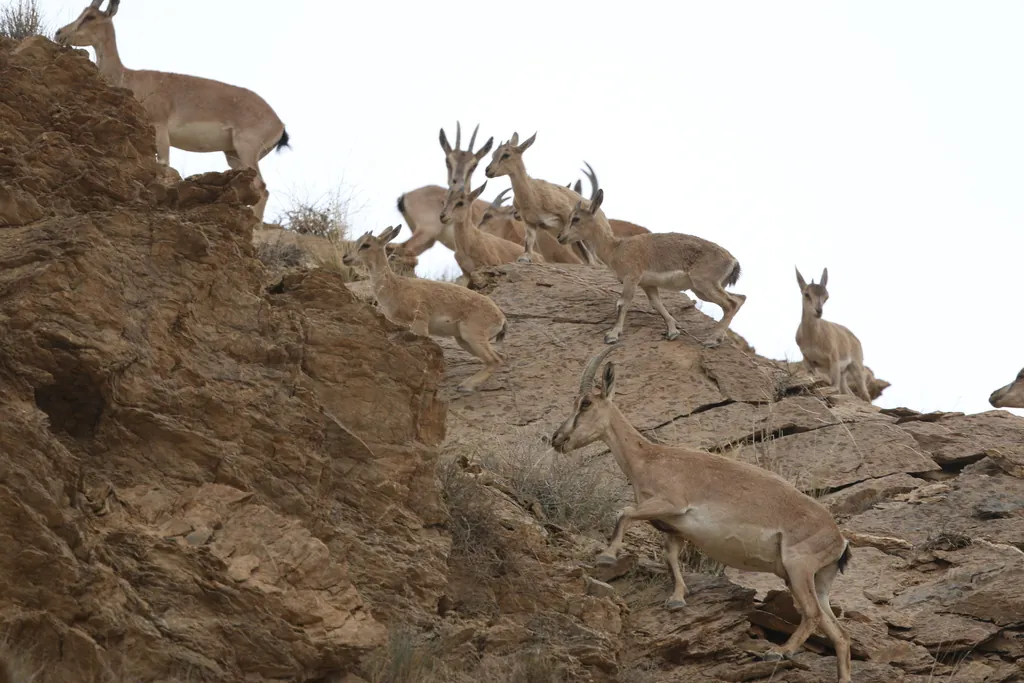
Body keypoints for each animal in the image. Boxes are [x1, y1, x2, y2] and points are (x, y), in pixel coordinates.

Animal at [54, 0, 288, 222]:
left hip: (246, 148)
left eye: (90, 16)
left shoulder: (159, 129)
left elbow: (164, 167)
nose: (59, 33)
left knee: (262, 189)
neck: (129, 77)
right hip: (233, 155)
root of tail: (279, 124)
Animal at [342, 226, 507, 393]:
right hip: (463, 340)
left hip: (473, 335)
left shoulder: (419, 323)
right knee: (499, 358)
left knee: (495, 360)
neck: (395, 287)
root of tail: (500, 318)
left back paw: (465, 386)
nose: (345, 258)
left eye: (366, 244)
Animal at [550, 346, 853, 683]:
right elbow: (670, 555)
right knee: (839, 633)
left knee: (812, 614)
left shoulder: (671, 503)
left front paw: (606, 556)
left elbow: (623, 513)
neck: (648, 458)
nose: (556, 439)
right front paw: (677, 599)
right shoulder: (674, 527)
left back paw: (779, 651)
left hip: (798, 566)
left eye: (585, 403)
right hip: (817, 578)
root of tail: (840, 541)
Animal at [558, 188, 745, 346]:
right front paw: (672, 332)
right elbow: (657, 305)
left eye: (575, 218)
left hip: (704, 283)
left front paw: (612, 335)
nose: (560, 237)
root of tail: (733, 261)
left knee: (731, 303)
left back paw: (712, 340)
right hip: (703, 289)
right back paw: (719, 336)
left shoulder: (631, 278)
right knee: (739, 299)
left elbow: (623, 303)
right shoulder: (648, 285)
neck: (616, 248)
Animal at [795, 268, 871, 401]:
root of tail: (855, 339)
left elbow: (833, 388)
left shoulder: (833, 359)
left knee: (865, 395)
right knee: (849, 392)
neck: (813, 338)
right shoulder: (808, 362)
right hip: (843, 374)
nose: (818, 311)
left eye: (826, 297)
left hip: (856, 368)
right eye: (807, 294)